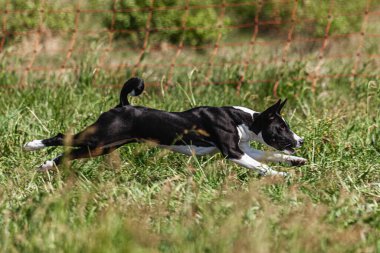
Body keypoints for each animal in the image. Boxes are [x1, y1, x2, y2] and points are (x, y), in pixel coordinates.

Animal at [23, 77, 308, 176]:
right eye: (281, 128)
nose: (300, 141)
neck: (242, 120)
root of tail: (123, 105)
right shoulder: (233, 152)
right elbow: (262, 166)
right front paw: (280, 176)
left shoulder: (243, 148)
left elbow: (270, 155)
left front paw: (297, 161)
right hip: (99, 138)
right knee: (63, 137)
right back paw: (31, 145)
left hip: (103, 147)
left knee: (67, 153)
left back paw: (46, 165)